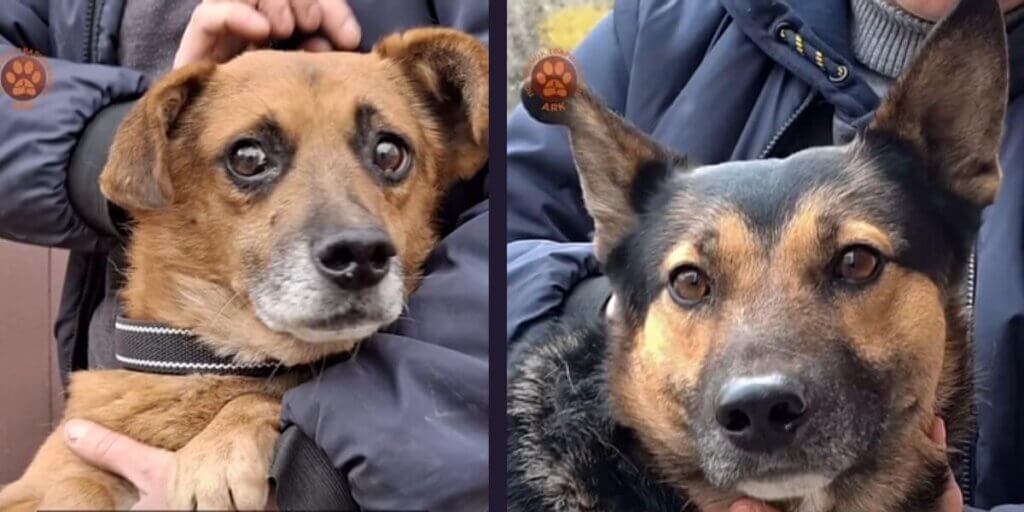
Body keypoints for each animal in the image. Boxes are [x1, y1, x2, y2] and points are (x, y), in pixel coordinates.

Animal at [0, 28, 487, 512]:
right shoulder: (37, 484)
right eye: (248, 158)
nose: (362, 255)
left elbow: (272, 390)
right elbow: (72, 486)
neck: (217, 359)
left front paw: (220, 448)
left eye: (389, 152)